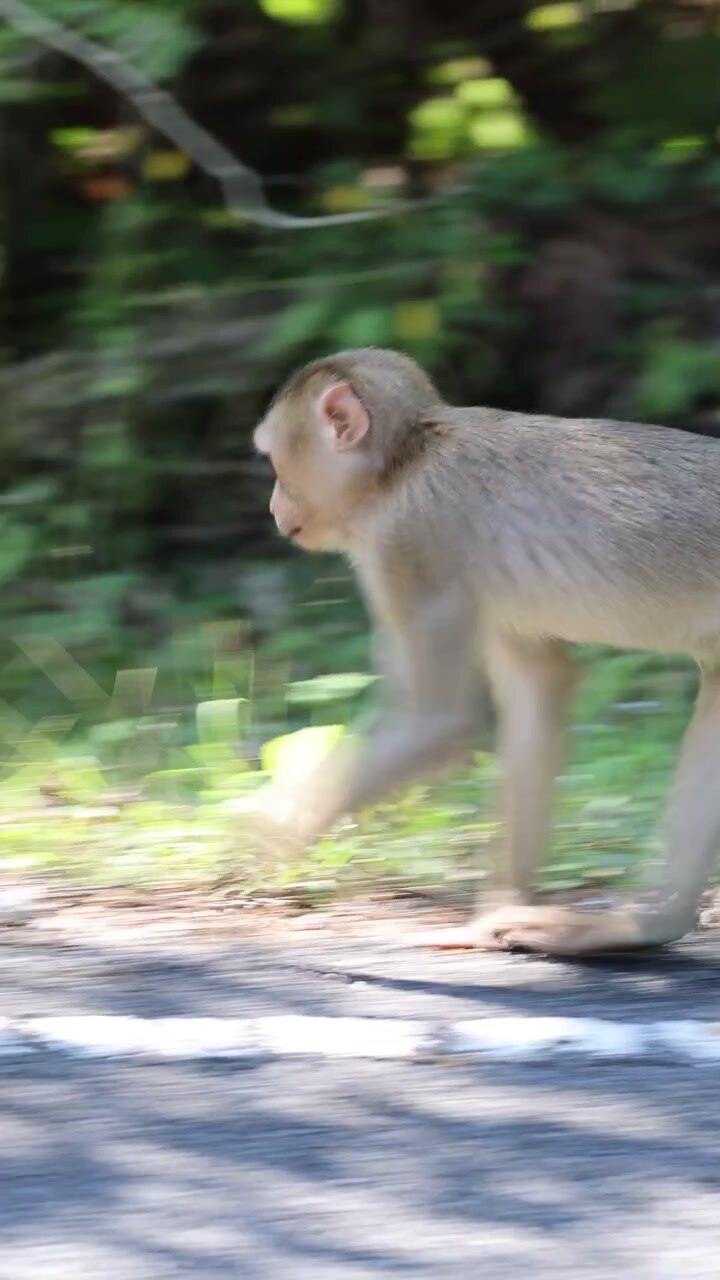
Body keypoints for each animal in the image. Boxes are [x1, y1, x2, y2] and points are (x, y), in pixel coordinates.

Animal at [251, 346, 720, 956]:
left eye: (276, 461)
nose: (273, 505)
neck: (405, 463)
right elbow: (540, 688)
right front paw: (492, 911)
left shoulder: (409, 545)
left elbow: (441, 721)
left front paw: (281, 828)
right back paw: (650, 925)